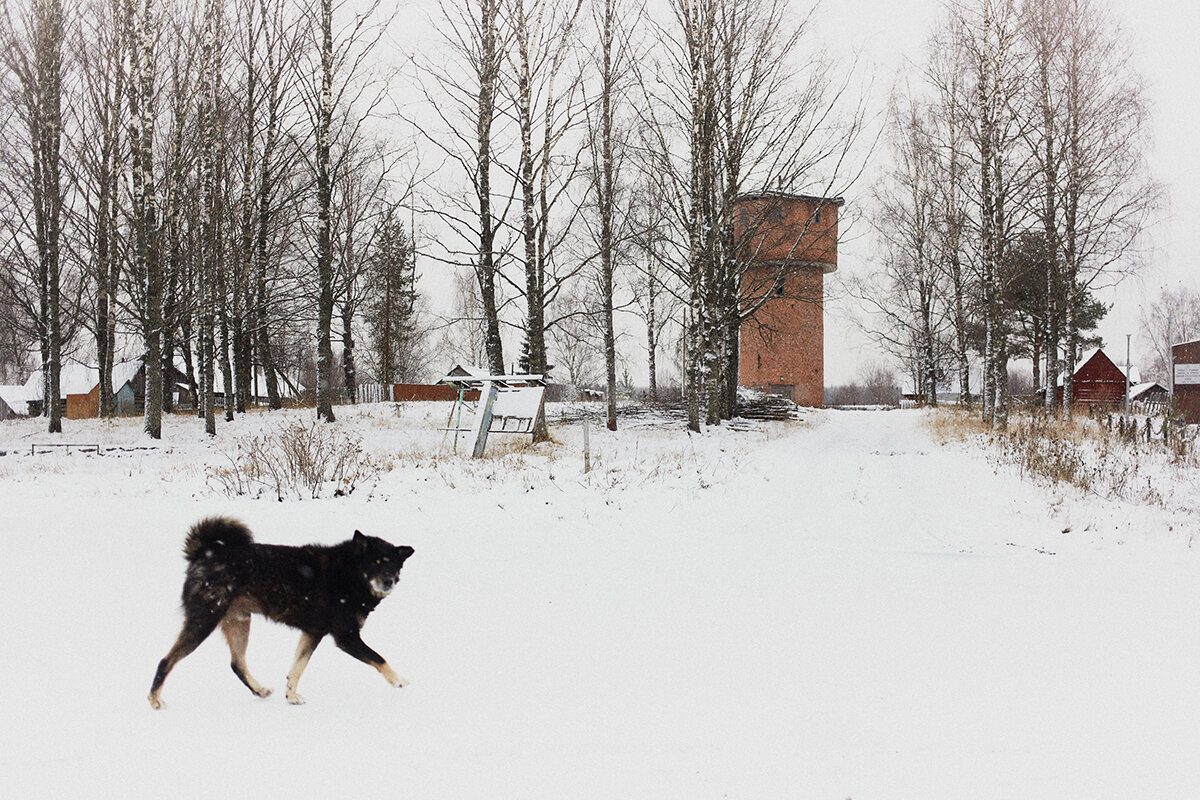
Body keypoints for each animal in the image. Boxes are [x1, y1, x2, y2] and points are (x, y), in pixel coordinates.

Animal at [147, 515, 412, 710]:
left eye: (393, 565)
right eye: (376, 563)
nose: (388, 581)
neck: (349, 574)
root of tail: (205, 553)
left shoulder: (312, 633)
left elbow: (297, 668)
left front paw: (291, 695)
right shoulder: (346, 637)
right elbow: (379, 658)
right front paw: (398, 680)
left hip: (239, 622)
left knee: (237, 663)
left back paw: (259, 689)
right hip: (205, 621)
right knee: (165, 660)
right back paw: (154, 699)